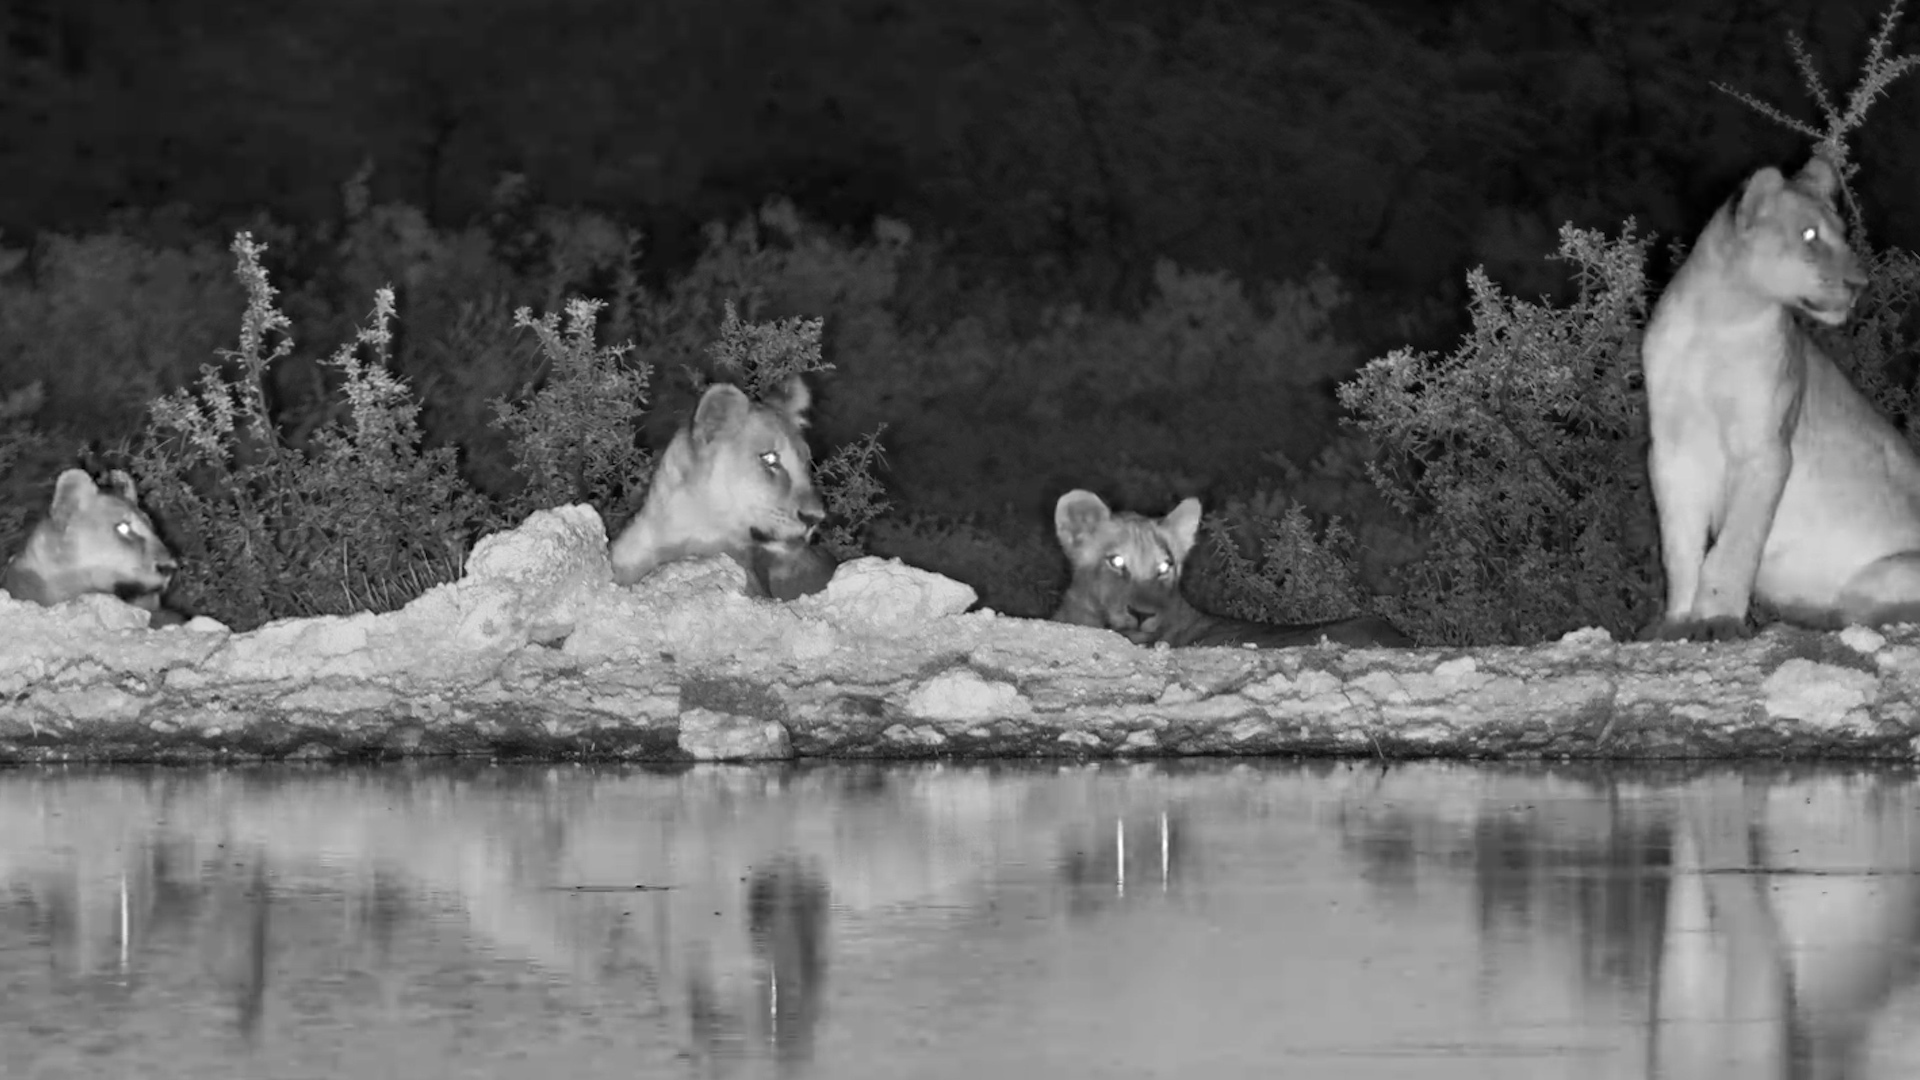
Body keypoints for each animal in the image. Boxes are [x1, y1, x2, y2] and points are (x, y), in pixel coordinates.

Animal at [1641, 155, 1920, 640]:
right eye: (1809, 235)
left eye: (1843, 234)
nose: (1860, 284)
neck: (1717, 318)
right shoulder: (1672, 450)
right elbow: (1679, 546)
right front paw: (1676, 622)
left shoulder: (1766, 449)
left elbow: (1735, 545)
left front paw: (1717, 618)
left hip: (1887, 572)